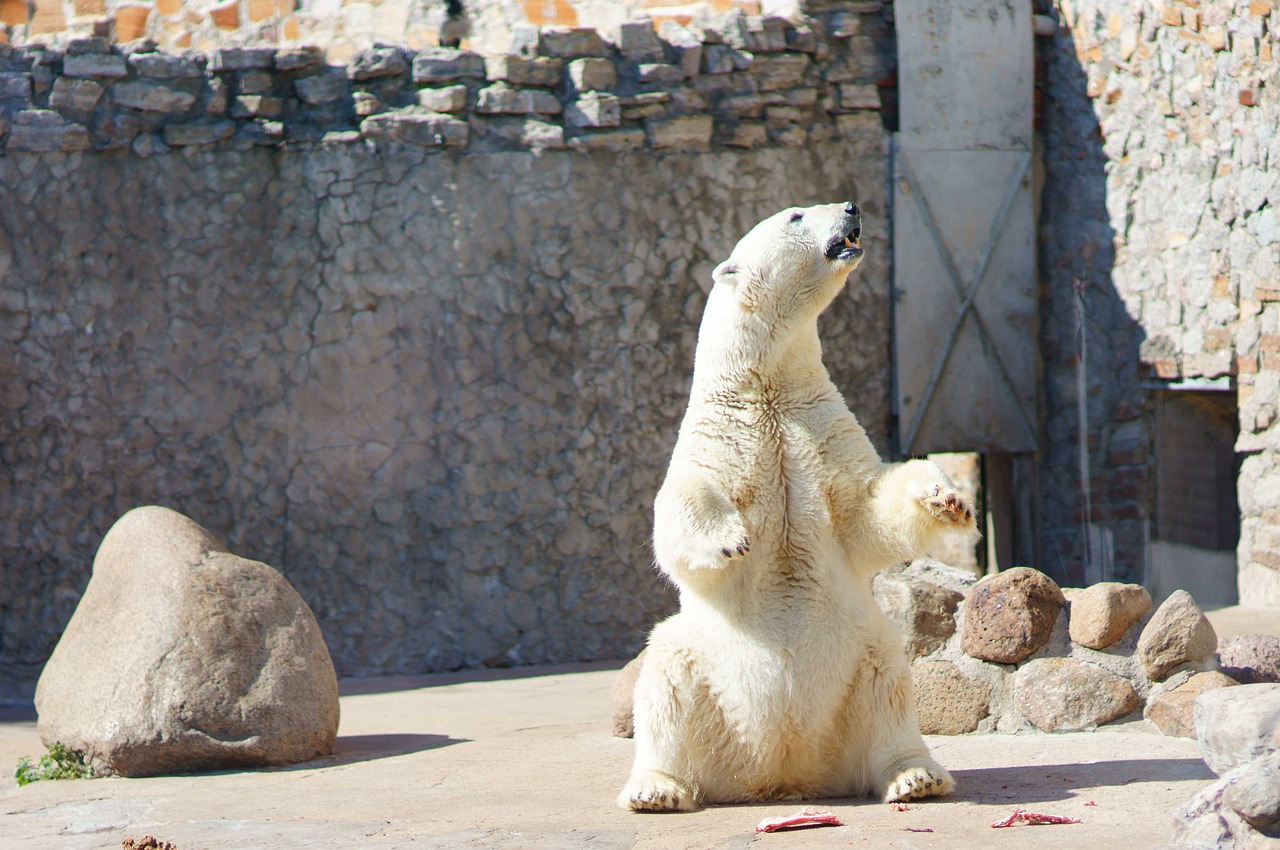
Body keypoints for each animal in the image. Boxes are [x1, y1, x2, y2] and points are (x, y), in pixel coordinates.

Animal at [616, 202, 967, 814]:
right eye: (797, 214)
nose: (851, 206)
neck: (766, 385)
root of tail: (782, 772)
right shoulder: (722, 434)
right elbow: (681, 505)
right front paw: (729, 539)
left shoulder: (818, 425)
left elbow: (864, 510)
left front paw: (946, 498)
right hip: (701, 662)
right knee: (665, 677)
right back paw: (656, 788)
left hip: (861, 655)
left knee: (890, 687)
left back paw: (915, 776)